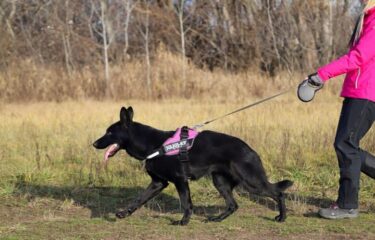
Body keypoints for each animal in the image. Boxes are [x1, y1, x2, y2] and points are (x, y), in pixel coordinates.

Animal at [93, 107, 294, 225]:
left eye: (109, 132)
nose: (94, 144)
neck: (153, 144)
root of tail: (250, 149)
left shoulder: (180, 181)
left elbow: (186, 203)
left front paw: (183, 222)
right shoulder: (158, 183)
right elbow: (139, 199)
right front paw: (124, 213)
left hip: (251, 182)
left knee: (278, 193)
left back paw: (282, 217)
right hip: (220, 182)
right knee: (233, 205)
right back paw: (217, 219)